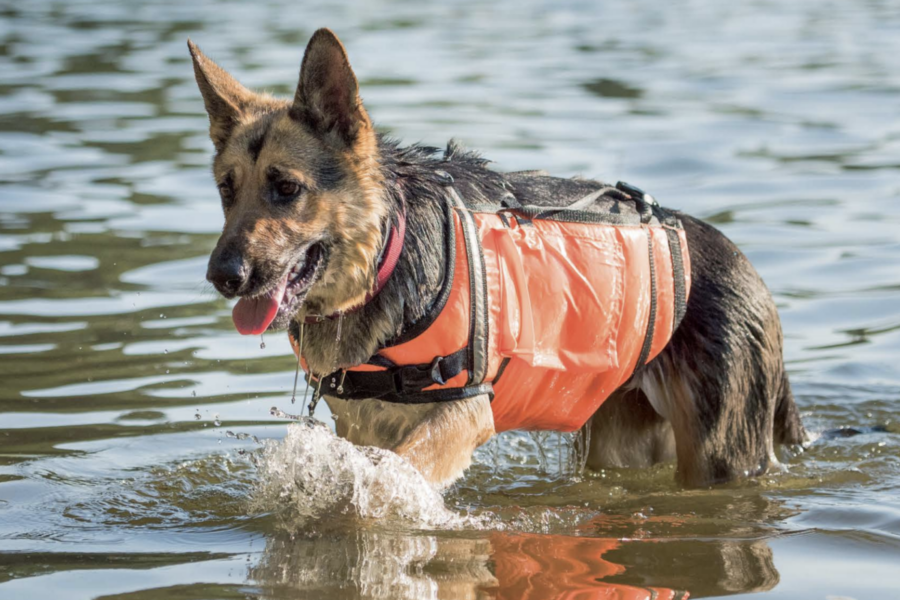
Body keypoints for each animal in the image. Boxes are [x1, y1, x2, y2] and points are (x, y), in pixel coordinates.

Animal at [192, 27, 808, 488]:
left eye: (286, 189)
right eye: (225, 189)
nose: (221, 277)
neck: (385, 257)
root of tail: (746, 266)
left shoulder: (463, 412)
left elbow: (399, 472)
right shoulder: (363, 428)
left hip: (717, 456)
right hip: (621, 438)